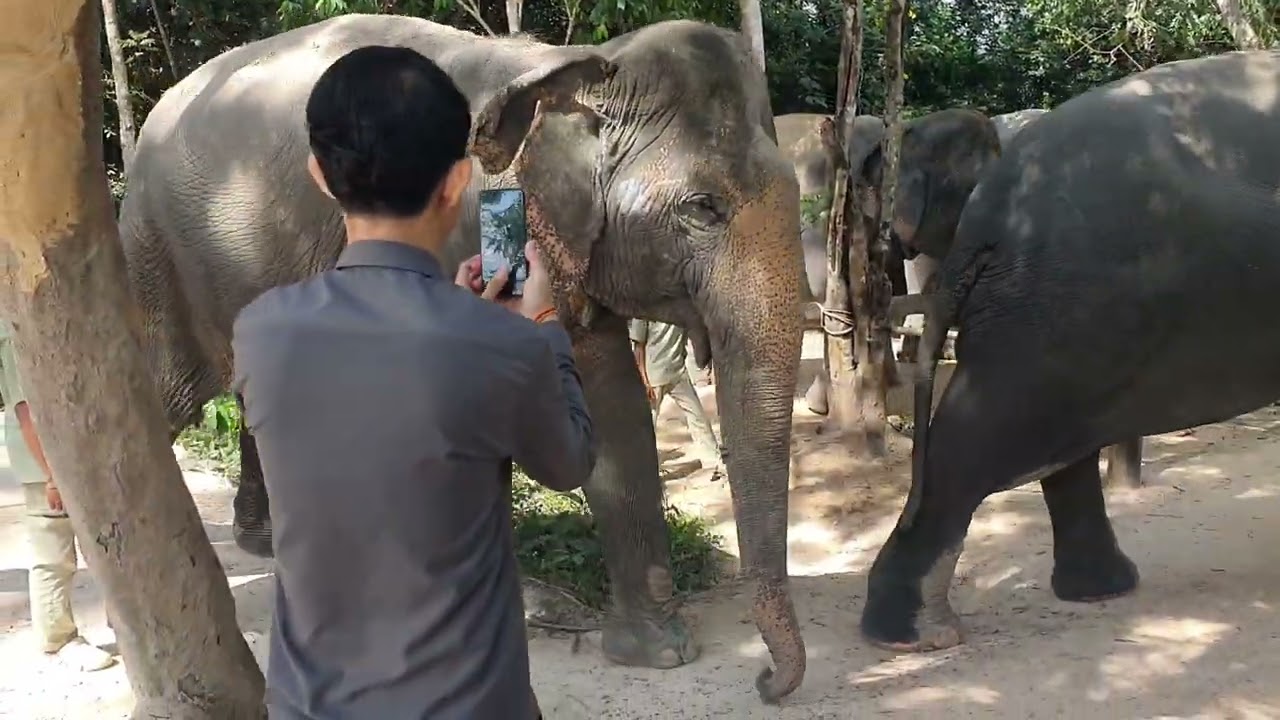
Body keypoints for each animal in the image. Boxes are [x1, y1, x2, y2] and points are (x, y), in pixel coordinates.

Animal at [118, 16, 807, 702]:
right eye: (704, 208)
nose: (766, 682)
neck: (576, 63)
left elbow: (613, 404)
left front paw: (659, 652)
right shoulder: (462, 231)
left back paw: (263, 545)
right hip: (157, 256)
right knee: (159, 393)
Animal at [773, 109, 1001, 415]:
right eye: (974, 195)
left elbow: (884, 290)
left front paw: (885, 381)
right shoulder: (827, 206)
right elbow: (830, 289)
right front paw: (822, 405)